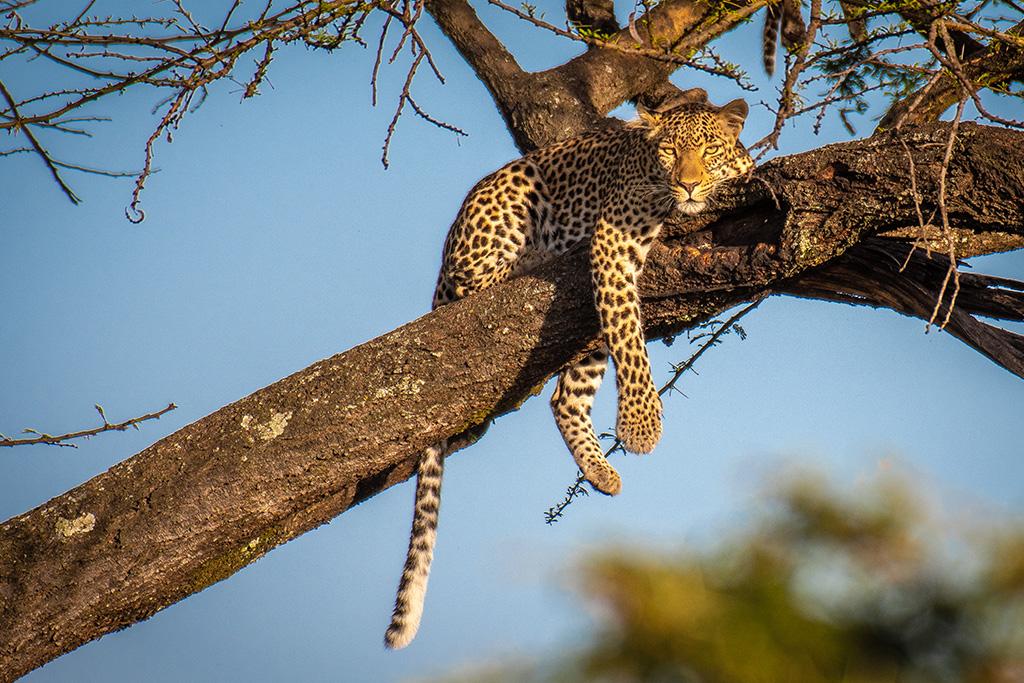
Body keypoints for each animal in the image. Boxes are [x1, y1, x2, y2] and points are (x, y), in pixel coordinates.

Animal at [384, 89, 754, 649]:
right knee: (477, 285)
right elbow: (631, 337)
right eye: (669, 151)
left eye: (709, 150)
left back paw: (600, 473)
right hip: (509, 202)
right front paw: (642, 427)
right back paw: (530, 260)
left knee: (566, 397)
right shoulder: (614, 239)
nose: (689, 184)